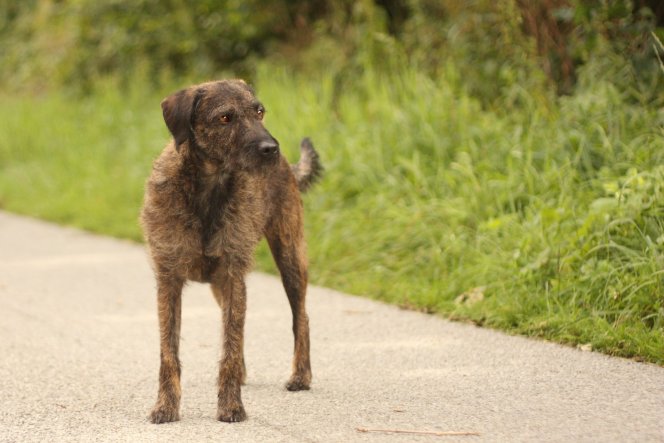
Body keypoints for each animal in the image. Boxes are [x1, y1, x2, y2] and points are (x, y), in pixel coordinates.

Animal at [141, 80, 322, 424]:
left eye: (259, 111)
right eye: (225, 118)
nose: (271, 149)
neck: (208, 189)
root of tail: (288, 165)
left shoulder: (233, 276)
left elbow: (231, 345)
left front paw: (230, 406)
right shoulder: (169, 280)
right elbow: (169, 352)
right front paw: (166, 406)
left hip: (290, 256)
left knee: (302, 316)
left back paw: (300, 376)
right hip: (220, 286)